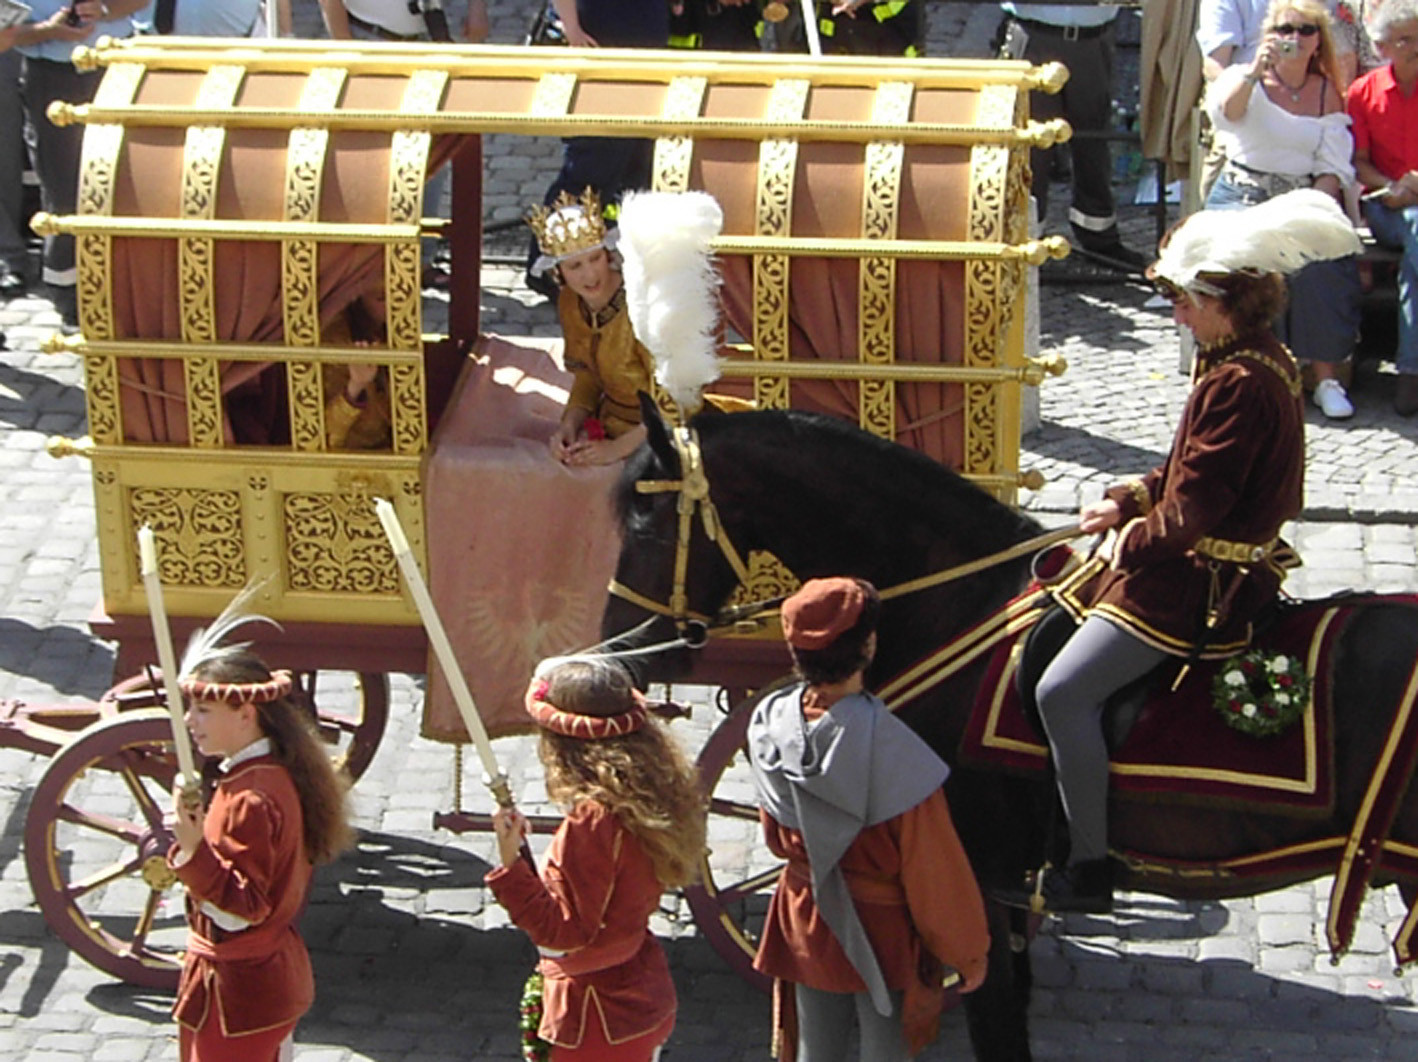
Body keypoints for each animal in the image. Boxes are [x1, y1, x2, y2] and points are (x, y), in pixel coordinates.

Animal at [604, 402, 1418, 1054]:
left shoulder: (977, 875)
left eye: (646, 523)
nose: (618, 654)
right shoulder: (1002, 885)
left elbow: (997, 1021)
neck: (959, 604)